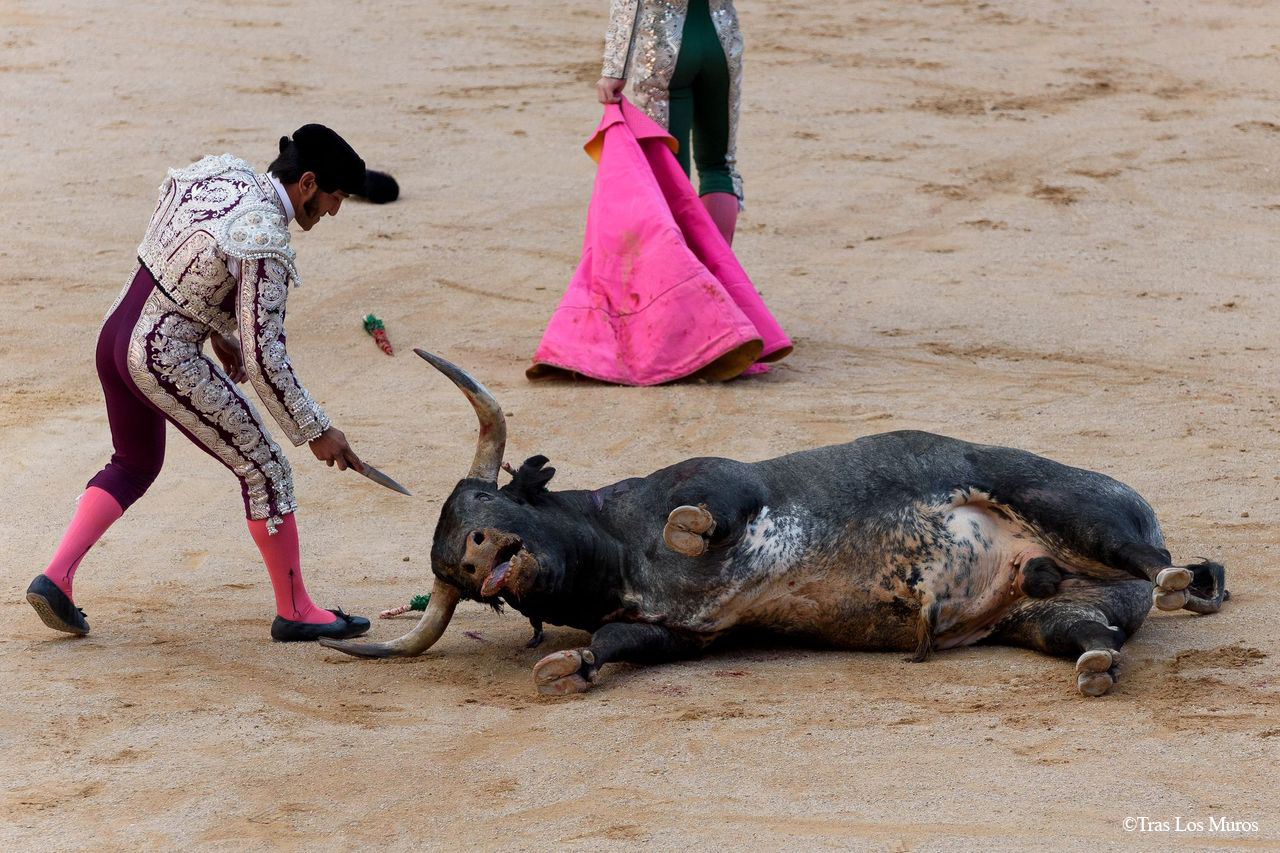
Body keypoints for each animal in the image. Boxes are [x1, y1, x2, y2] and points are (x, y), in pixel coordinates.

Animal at [321, 351, 1229, 697]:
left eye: (494, 508)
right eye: (454, 574)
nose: (474, 557)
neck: (616, 550)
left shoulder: (719, 478)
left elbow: (706, 511)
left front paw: (688, 530)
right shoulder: (679, 633)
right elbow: (616, 644)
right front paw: (568, 665)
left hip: (1069, 503)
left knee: (1151, 554)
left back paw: (1183, 582)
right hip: (1048, 617)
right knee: (1089, 629)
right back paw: (1099, 661)